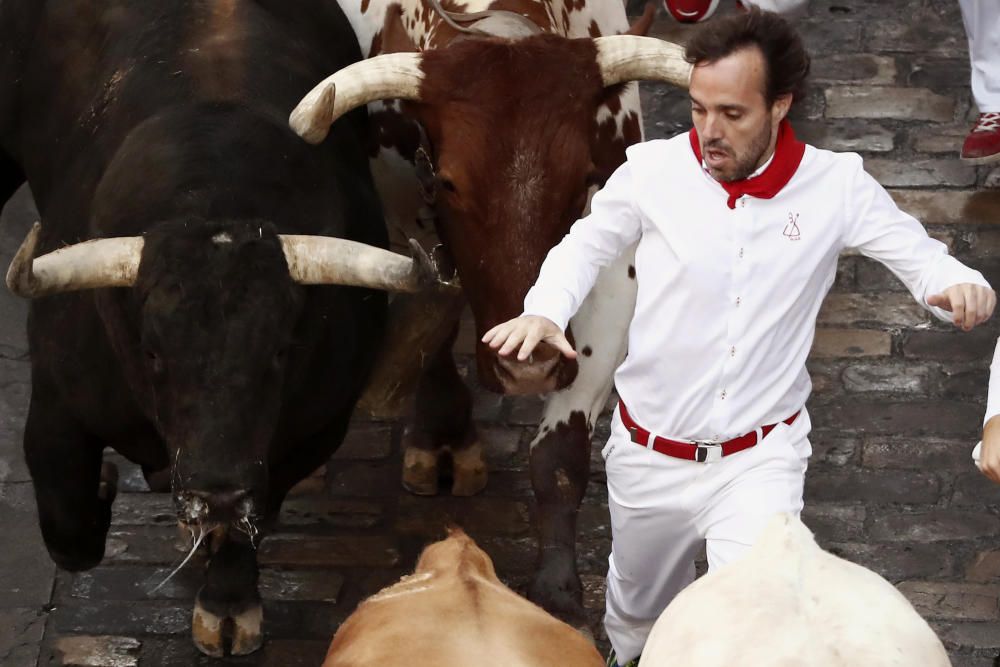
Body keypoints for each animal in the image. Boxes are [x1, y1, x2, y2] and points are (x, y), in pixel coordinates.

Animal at [0, 0, 398, 656]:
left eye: (281, 351)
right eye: (152, 353)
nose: (214, 491)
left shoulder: (308, 433)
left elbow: (248, 523)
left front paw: (228, 604)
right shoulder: (57, 405)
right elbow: (70, 530)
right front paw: (107, 483)